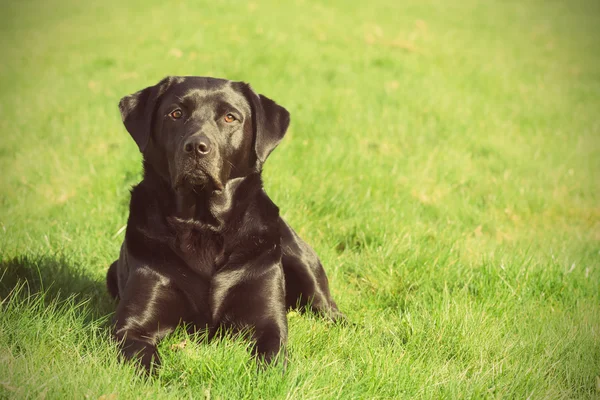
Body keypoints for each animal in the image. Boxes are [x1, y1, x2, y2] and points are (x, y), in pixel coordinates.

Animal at [107, 76, 342, 370]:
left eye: (230, 117)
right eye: (176, 113)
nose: (197, 147)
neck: (203, 225)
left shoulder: (268, 323)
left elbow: (270, 360)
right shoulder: (130, 328)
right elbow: (145, 359)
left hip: (298, 257)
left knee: (327, 308)